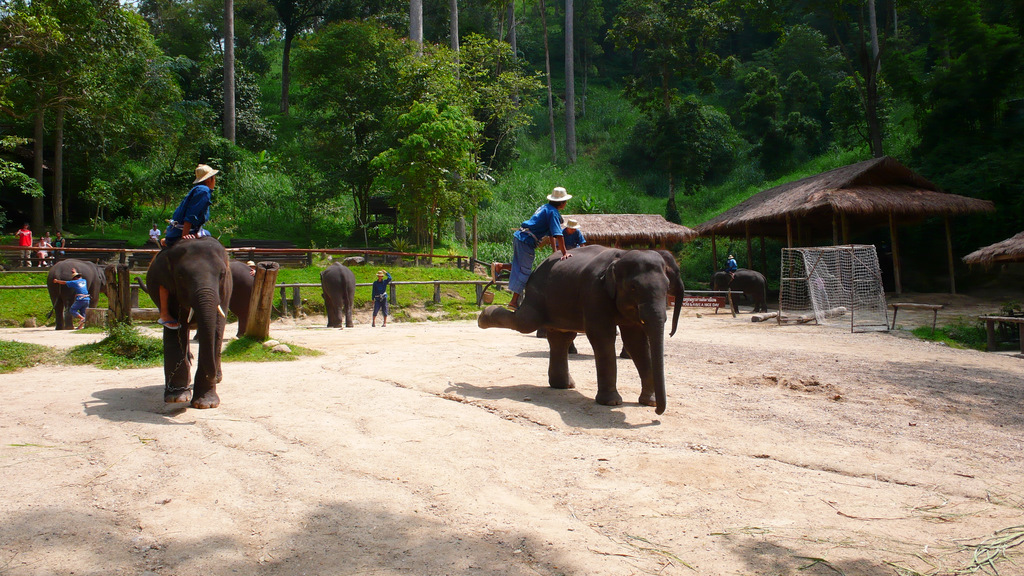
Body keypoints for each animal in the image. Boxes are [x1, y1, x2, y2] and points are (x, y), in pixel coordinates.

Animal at [145, 237, 233, 409]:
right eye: (180, 276)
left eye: (222, 274)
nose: (212, 376)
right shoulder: (169, 288)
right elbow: (174, 332)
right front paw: (176, 397)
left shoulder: (224, 291)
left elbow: (216, 329)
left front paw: (206, 404)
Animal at [478, 245, 685, 415]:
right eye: (633, 287)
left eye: (667, 286)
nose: (658, 412)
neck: (621, 255)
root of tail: (538, 267)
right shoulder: (594, 291)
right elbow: (602, 336)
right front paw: (612, 403)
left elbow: (636, 342)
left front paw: (648, 402)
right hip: (538, 293)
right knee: (527, 322)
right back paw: (482, 318)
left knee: (561, 337)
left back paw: (563, 386)